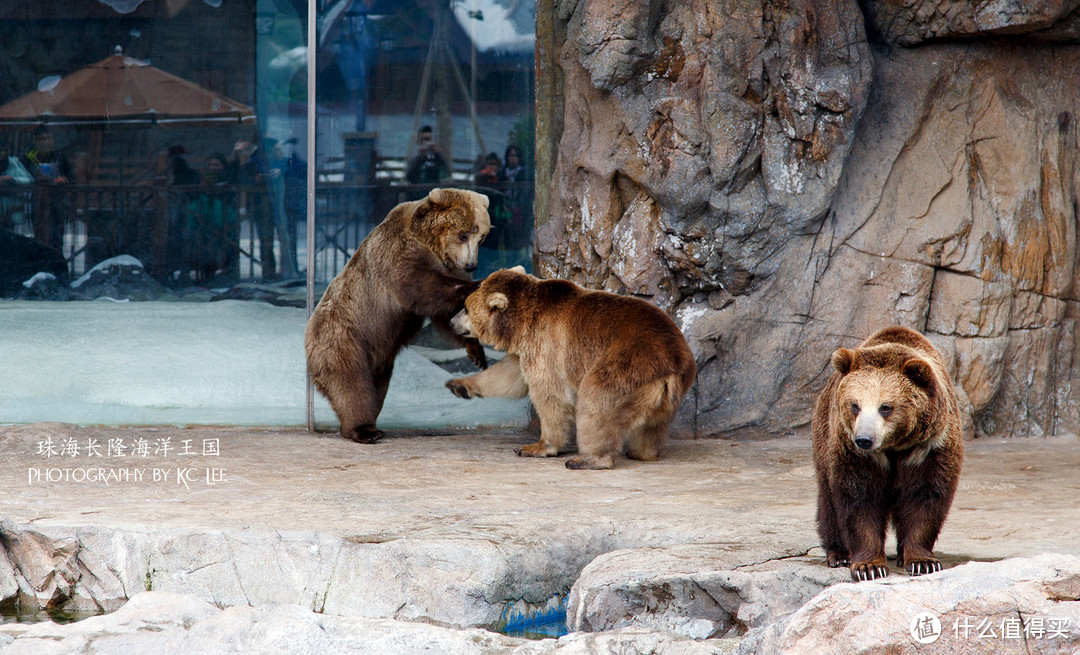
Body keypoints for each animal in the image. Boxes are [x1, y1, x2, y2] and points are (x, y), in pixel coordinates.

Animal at [304, 190, 490, 447]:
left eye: (481, 237)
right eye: (463, 234)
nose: (472, 264)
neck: (430, 243)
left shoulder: (448, 265)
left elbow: (446, 315)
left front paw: (477, 353)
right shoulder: (397, 252)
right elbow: (421, 286)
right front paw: (477, 283)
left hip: (379, 355)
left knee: (376, 387)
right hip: (342, 339)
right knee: (350, 384)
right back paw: (364, 430)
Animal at [442, 268, 695, 471]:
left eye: (465, 308)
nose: (451, 322)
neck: (521, 323)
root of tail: (673, 362)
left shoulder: (547, 344)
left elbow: (549, 395)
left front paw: (536, 446)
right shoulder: (527, 348)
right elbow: (509, 375)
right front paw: (459, 386)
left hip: (627, 365)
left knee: (597, 402)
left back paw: (587, 459)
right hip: (662, 388)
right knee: (653, 425)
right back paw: (641, 452)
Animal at [812, 326, 967, 583]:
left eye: (885, 407)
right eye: (855, 405)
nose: (864, 439)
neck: (895, 446)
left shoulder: (930, 446)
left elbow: (925, 496)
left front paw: (922, 561)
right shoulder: (855, 452)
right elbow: (860, 498)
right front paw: (869, 567)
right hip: (824, 436)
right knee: (829, 498)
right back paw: (838, 554)